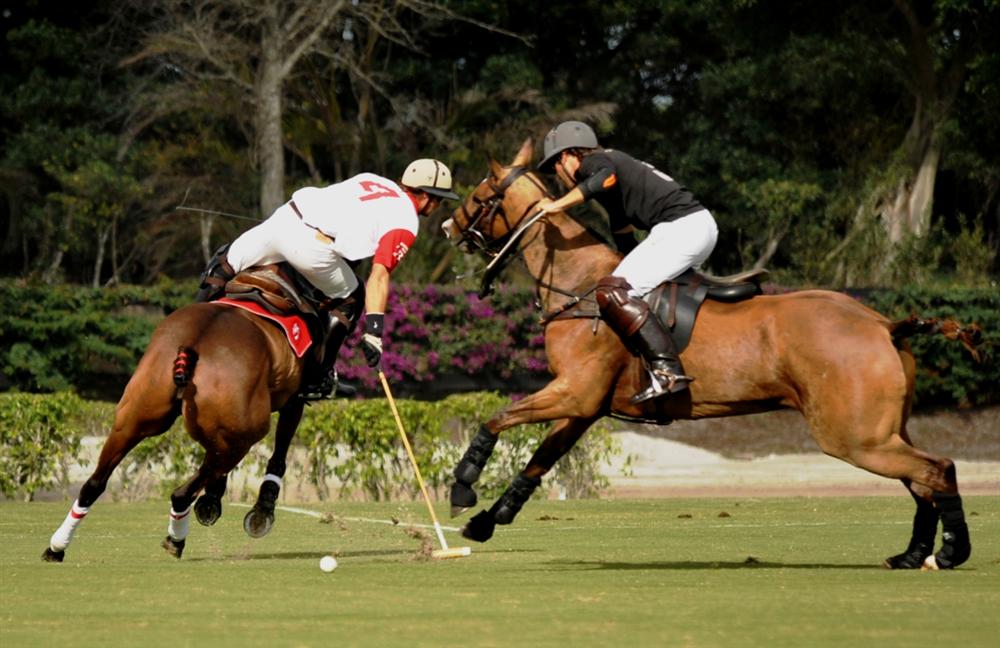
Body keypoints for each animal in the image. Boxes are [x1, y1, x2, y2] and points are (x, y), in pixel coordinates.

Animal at [41, 266, 335, 562]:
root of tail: (192, 343)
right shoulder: (293, 400)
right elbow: (280, 452)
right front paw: (259, 509)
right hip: (242, 435)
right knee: (184, 491)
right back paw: (178, 537)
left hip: (133, 418)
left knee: (94, 483)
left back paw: (57, 547)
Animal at [442, 138, 983, 570]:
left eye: (479, 197)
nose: (447, 226)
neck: (578, 286)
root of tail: (883, 324)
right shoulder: (584, 405)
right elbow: (538, 462)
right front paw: (486, 522)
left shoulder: (573, 392)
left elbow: (497, 419)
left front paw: (462, 488)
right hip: (882, 430)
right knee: (922, 479)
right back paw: (912, 555)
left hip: (853, 436)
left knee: (937, 469)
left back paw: (949, 553)